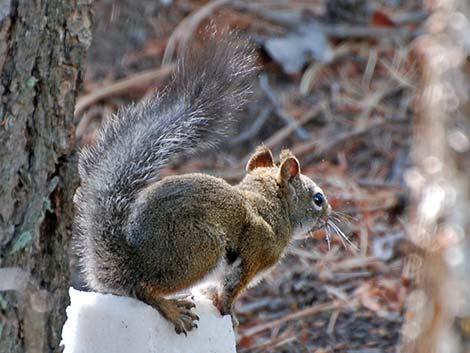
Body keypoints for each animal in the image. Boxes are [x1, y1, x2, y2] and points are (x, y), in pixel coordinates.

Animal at [74, 30, 330, 332]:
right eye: (318, 199)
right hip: (199, 249)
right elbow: (231, 290)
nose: (329, 215)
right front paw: (229, 312)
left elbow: (217, 289)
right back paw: (172, 309)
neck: (270, 205)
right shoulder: (255, 250)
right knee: (144, 288)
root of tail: (131, 263)